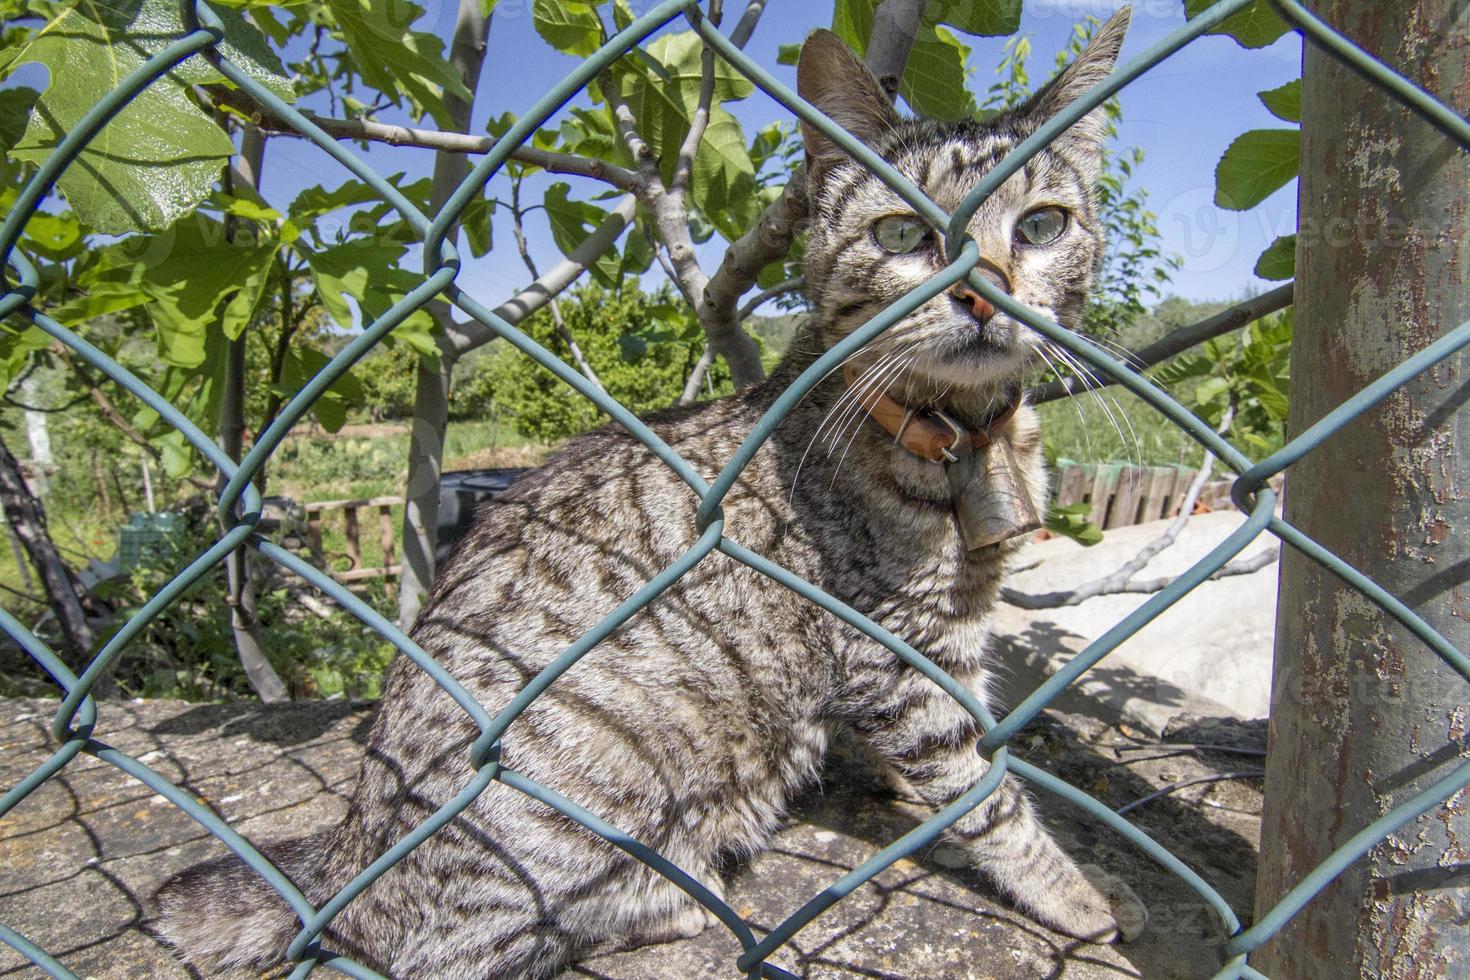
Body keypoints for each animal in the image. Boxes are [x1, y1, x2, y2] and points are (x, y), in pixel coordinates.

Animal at [160, 11, 1140, 975]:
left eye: (1042, 226)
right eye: (902, 236)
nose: (983, 295)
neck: (964, 433)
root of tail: (354, 847)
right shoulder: (895, 652)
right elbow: (986, 795)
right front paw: (1077, 896)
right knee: (454, 942)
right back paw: (678, 899)